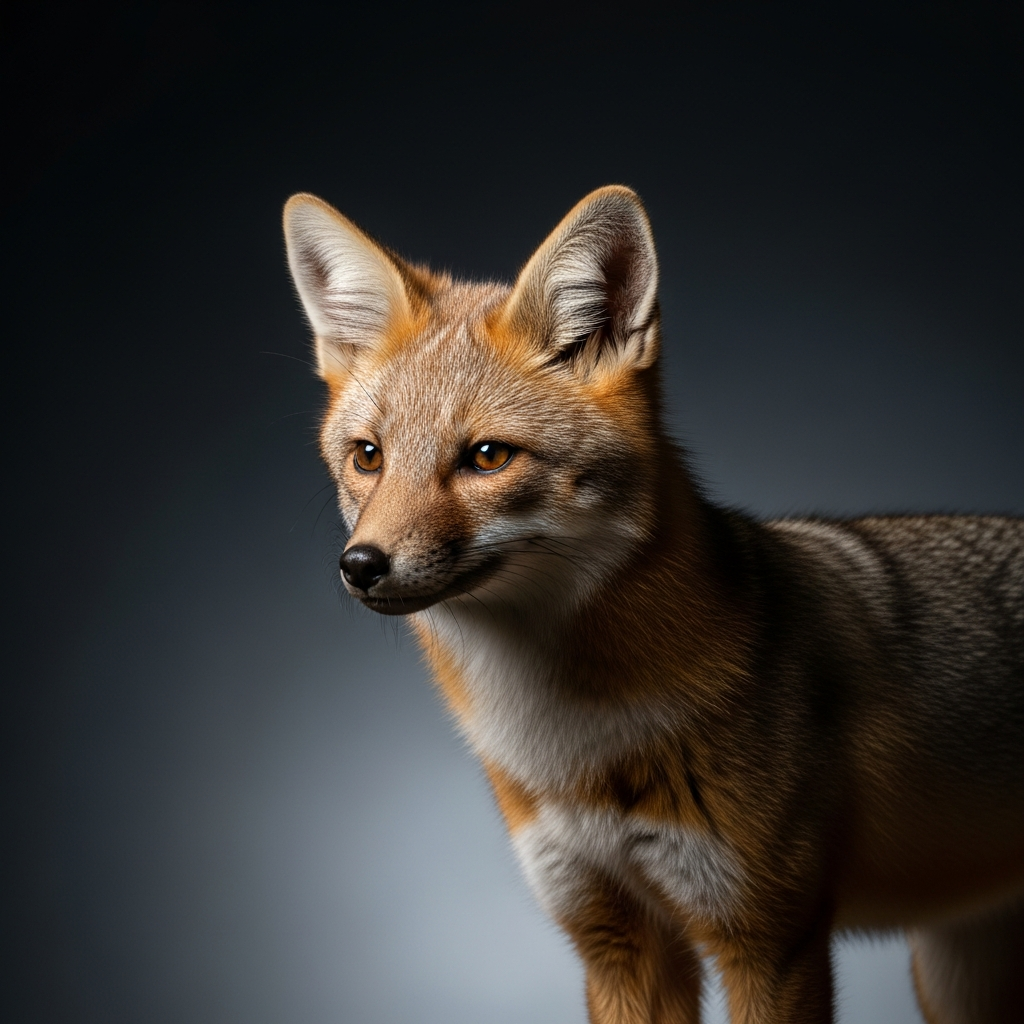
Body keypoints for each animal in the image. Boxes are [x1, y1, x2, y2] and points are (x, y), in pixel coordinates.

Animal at [282, 185, 1024, 1024]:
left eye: (487, 457)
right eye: (368, 457)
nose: (361, 566)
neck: (569, 743)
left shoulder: (771, 941)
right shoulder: (617, 941)